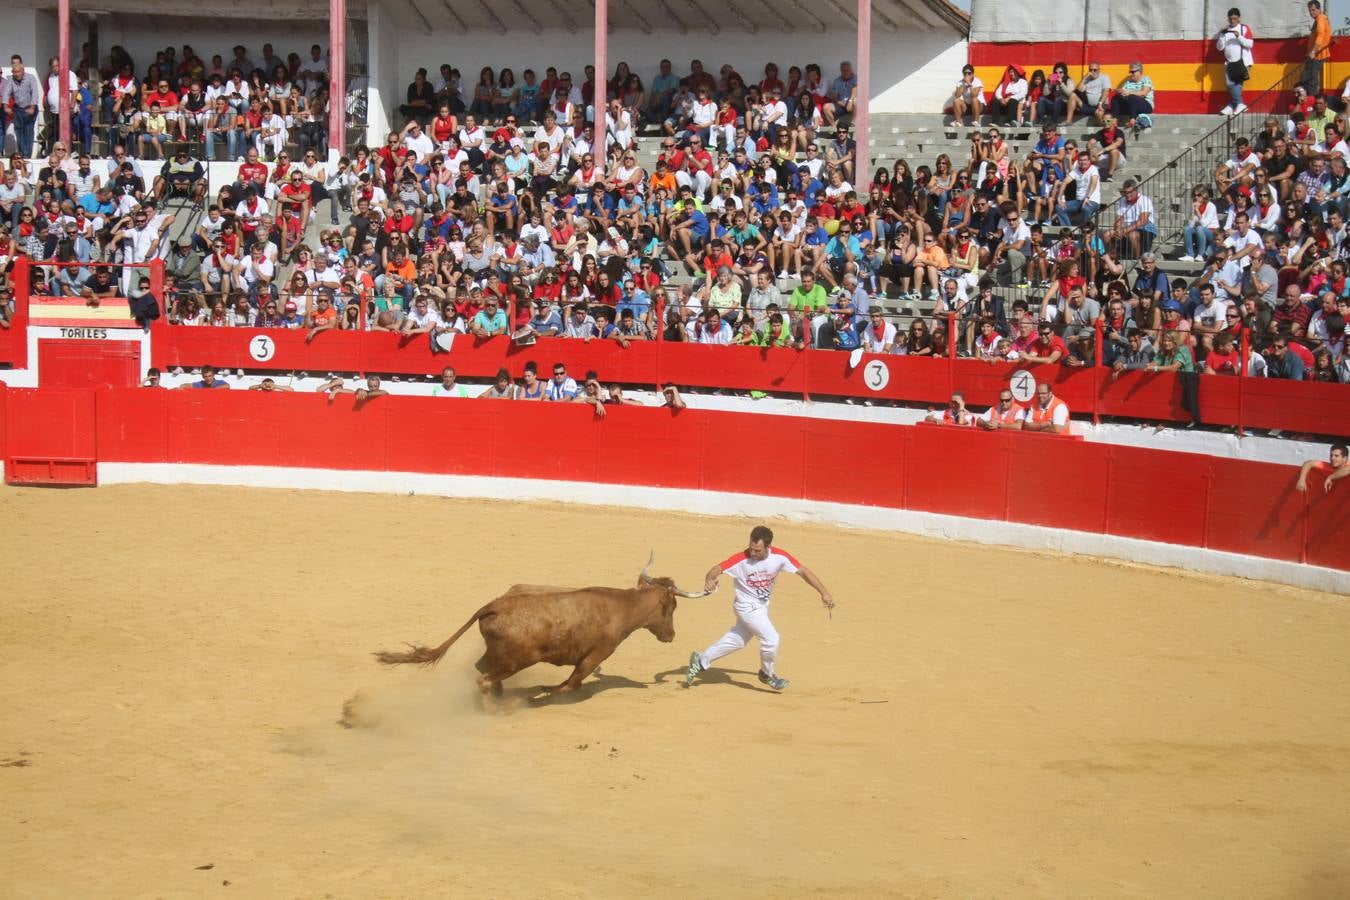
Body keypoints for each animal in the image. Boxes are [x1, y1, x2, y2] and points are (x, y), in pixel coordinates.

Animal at [375, 558, 712, 701]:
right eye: (672, 608)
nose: (671, 635)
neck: (623, 606)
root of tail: (495, 605)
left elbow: (572, 682)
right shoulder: (598, 653)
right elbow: (572, 683)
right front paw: (544, 690)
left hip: (498, 655)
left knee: (481, 670)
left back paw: (501, 697)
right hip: (517, 659)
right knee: (484, 678)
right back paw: (499, 706)